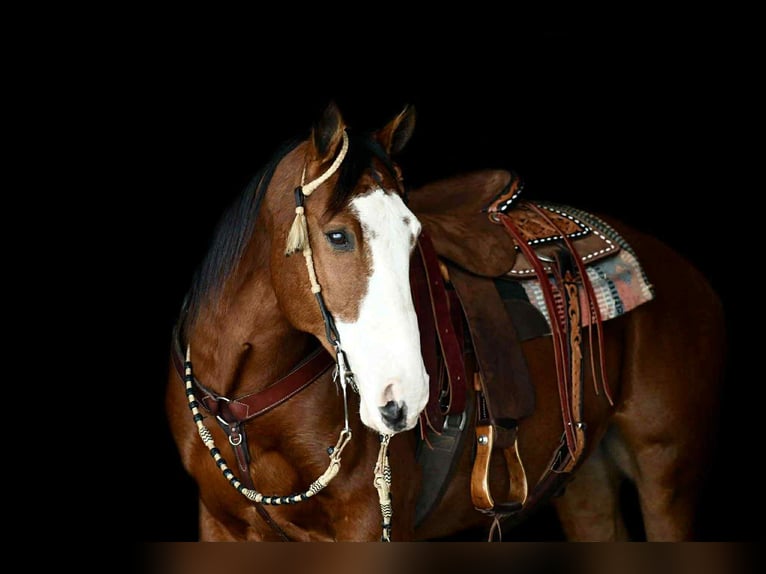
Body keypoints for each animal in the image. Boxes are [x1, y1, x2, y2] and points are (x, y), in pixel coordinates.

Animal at [165, 102, 726, 541]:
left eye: (414, 237)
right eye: (338, 236)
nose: (405, 398)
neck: (243, 405)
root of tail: (687, 276)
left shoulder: (371, 524)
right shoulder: (219, 524)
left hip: (667, 470)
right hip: (584, 480)